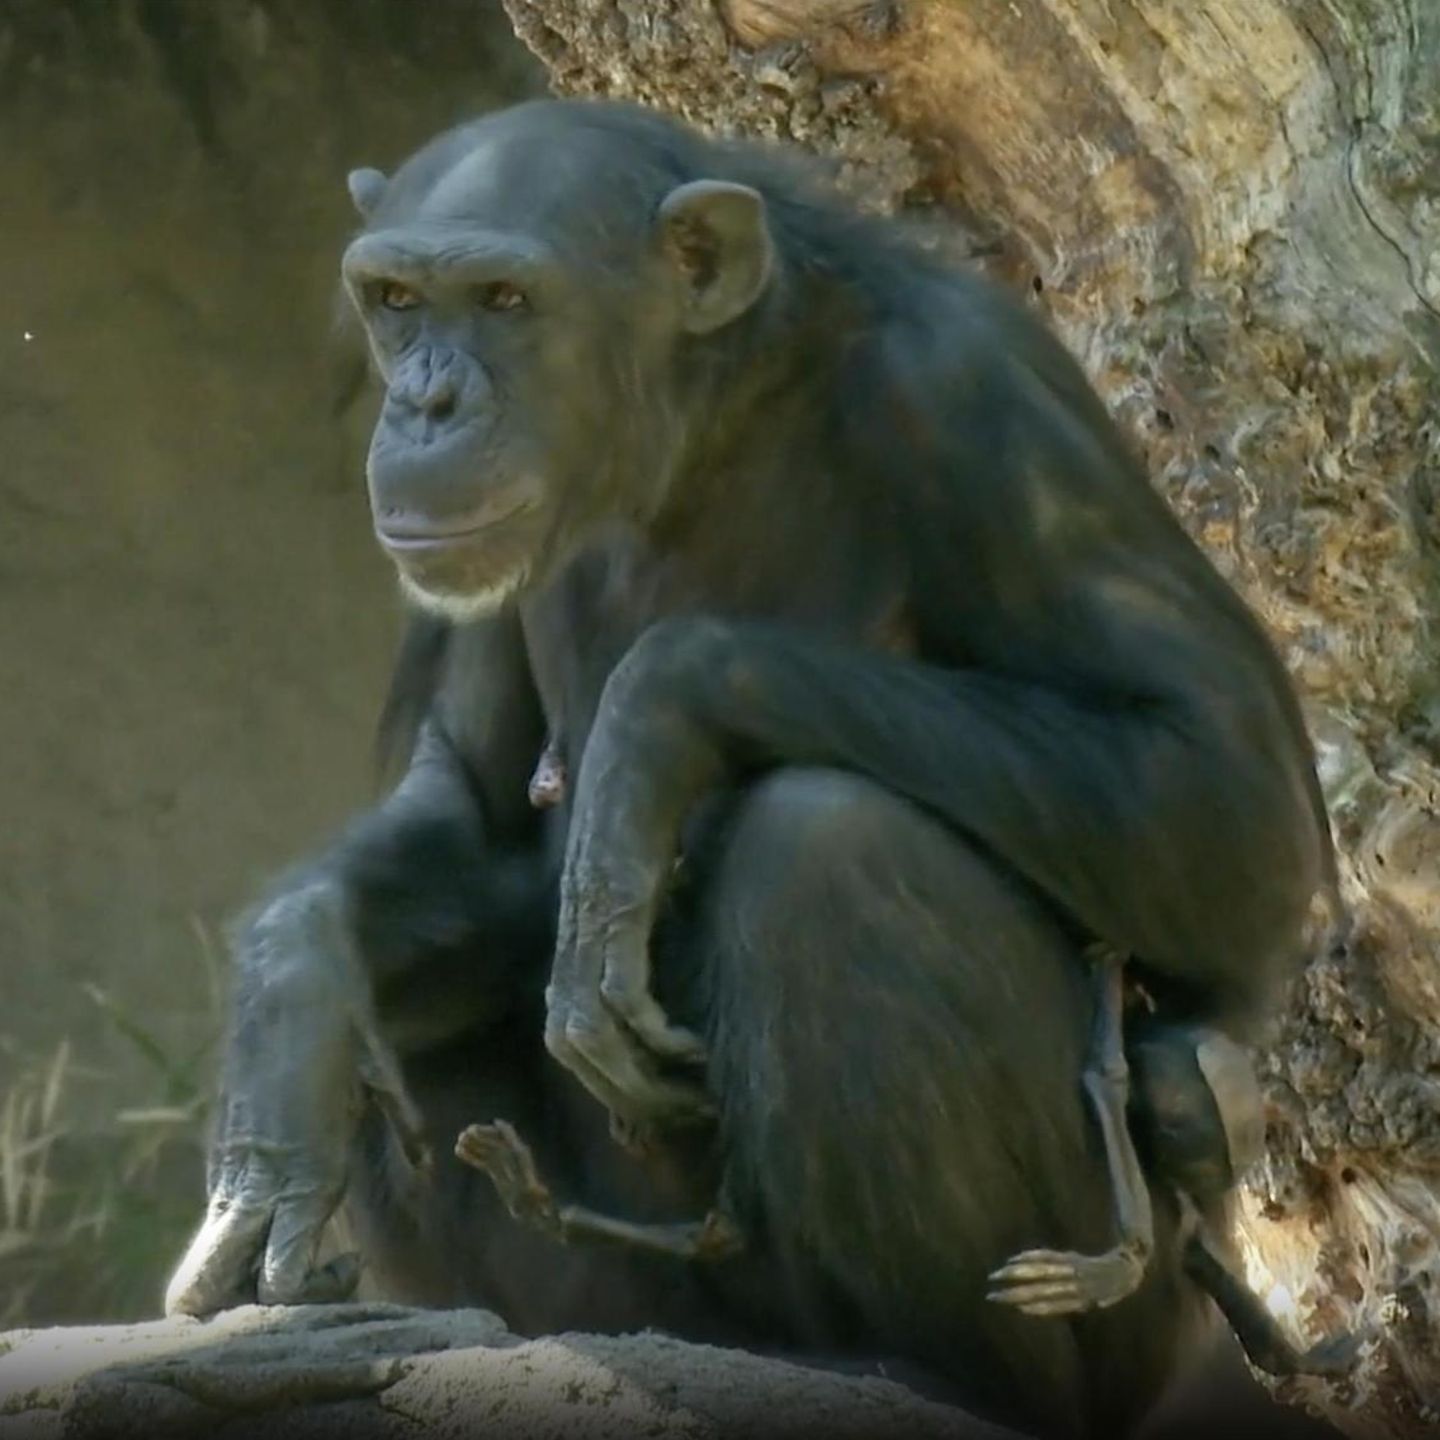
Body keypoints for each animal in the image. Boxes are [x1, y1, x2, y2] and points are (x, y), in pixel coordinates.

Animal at [165, 95, 1336, 1434]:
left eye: (506, 300)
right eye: (396, 299)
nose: (426, 403)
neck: (702, 421)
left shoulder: (978, 394)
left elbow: (1218, 790)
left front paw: (655, 718)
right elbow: (468, 805)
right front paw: (285, 1004)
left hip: (1129, 1303)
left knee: (830, 849)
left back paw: (937, 1373)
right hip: (639, 1291)